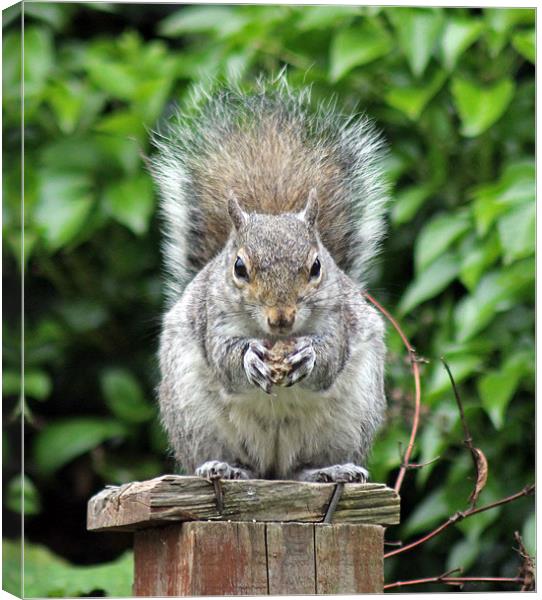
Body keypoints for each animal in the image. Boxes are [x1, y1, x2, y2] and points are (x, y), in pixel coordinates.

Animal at [153, 77, 388, 482]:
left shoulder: (340, 319)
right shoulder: (213, 319)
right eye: (239, 268)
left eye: (316, 267)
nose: (282, 318)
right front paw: (249, 359)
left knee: (300, 469)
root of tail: (272, 467)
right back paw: (225, 467)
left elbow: (331, 355)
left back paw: (329, 471)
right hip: (194, 417)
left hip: (350, 420)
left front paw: (309, 354)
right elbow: (224, 357)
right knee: (239, 462)